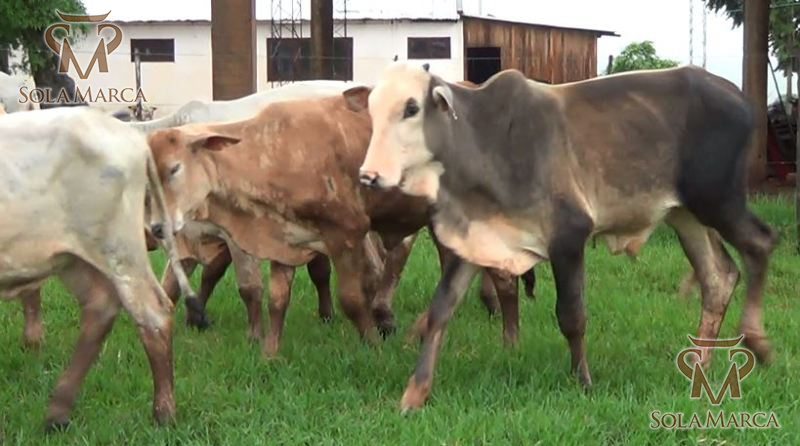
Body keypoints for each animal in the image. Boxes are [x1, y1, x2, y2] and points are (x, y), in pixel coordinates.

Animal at [0, 107, 196, 429]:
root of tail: (131, 136)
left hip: (119, 250)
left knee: (152, 313)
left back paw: (163, 414)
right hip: (72, 257)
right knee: (100, 308)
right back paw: (58, 412)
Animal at [358, 62, 778, 410]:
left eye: (411, 108)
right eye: (373, 110)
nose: (368, 175)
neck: (486, 141)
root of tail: (735, 94)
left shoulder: (568, 238)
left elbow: (571, 316)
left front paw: (584, 381)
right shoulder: (473, 241)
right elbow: (440, 310)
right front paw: (414, 393)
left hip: (719, 201)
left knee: (760, 244)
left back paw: (755, 341)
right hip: (685, 215)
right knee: (718, 276)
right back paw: (703, 362)